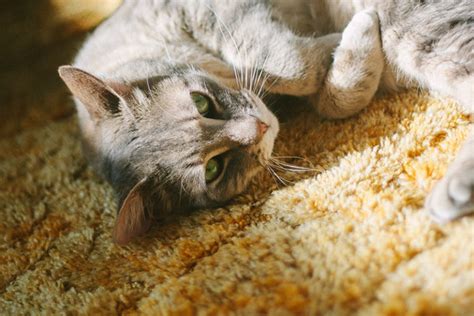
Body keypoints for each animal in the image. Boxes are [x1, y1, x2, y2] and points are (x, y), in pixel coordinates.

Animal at [57, 0, 472, 244]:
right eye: (214, 169)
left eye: (201, 102)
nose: (259, 128)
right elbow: (330, 97)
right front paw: (350, 52)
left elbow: (289, 64)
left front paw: (346, 33)